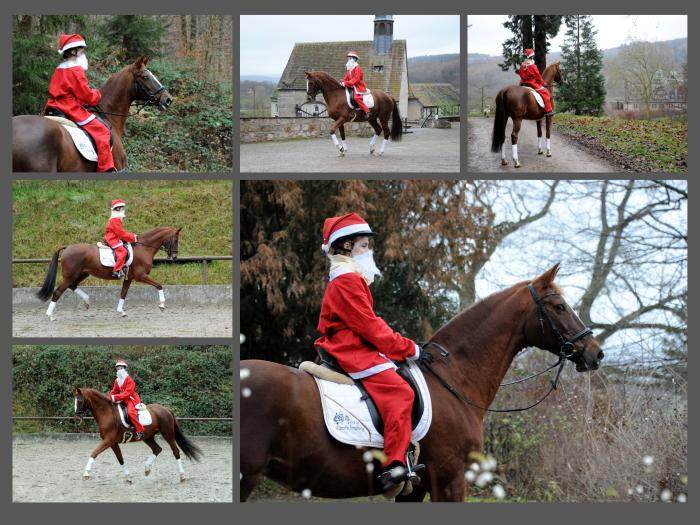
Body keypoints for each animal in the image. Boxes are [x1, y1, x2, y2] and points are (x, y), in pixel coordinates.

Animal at [36, 225, 180, 320]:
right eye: (176, 240)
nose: (174, 257)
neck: (143, 248)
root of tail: (68, 248)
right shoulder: (141, 276)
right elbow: (159, 285)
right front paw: (162, 305)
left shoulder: (129, 278)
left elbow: (123, 293)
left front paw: (121, 312)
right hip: (70, 275)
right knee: (58, 292)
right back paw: (50, 316)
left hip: (82, 274)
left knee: (72, 286)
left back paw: (87, 301)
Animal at [73, 386, 201, 482]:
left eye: (79, 401)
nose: (76, 418)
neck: (107, 412)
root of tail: (166, 409)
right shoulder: (113, 443)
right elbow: (120, 459)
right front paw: (128, 477)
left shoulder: (108, 440)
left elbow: (94, 453)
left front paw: (86, 473)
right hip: (147, 437)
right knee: (157, 449)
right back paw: (147, 469)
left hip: (168, 434)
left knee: (175, 451)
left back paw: (182, 476)